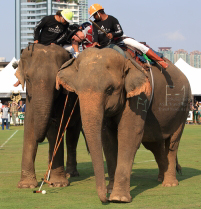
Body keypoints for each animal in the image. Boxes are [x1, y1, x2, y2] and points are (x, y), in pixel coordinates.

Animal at [15, 43, 81, 189]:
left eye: (57, 80)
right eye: (28, 78)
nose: (53, 118)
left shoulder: (64, 96)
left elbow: (56, 132)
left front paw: (59, 184)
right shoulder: (29, 97)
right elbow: (30, 128)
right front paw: (26, 186)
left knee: (72, 137)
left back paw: (70, 174)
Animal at [55, 47, 191, 202]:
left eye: (109, 89)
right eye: (77, 90)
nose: (105, 199)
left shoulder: (139, 97)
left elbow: (129, 135)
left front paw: (118, 198)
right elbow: (108, 140)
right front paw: (110, 189)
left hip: (183, 109)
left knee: (173, 143)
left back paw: (169, 184)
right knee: (154, 144)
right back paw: (160, 179)